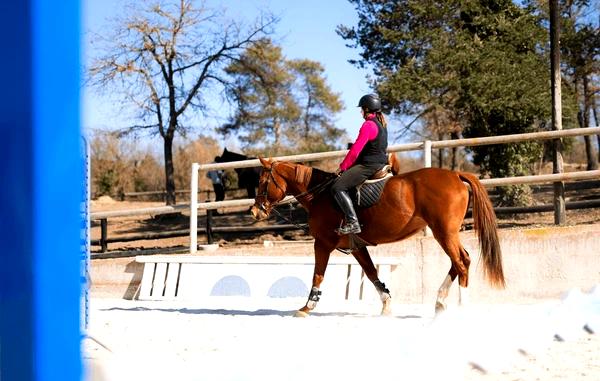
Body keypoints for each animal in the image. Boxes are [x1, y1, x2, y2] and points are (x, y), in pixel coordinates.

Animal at [250, 156, 506, 316]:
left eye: (262, 182)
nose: (254, 211)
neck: (319, 195)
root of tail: (456, 175)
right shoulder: (356, 247)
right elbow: (372, 273)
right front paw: (386, 305)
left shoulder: (322, 243)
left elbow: (318, 275)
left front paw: (307, 307)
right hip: (446, 233)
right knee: (461, 261)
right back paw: (440, 301)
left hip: (444, 232)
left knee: (461, 262)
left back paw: (460, 307)